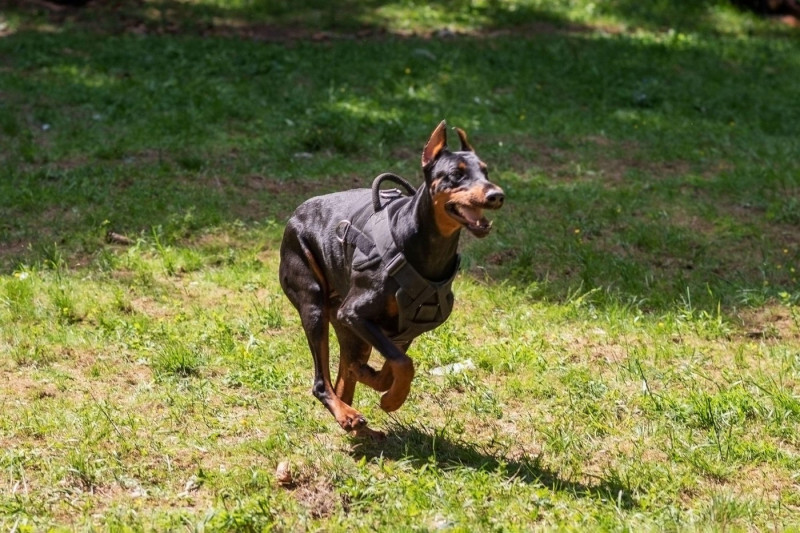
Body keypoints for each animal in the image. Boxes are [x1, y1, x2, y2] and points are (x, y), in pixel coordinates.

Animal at [282, 121, 504, 436]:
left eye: (485, 171)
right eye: (456, 174)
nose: (496, 195)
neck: (425, 248)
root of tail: (294, 215)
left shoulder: (407, 327)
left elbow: (392, 367)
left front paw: (377, 383)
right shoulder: (354, 312)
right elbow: (404, 364)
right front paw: (392, 400)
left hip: (347, 326)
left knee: (343, 375)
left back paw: (351, 405)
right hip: (314, 305)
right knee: (321, 382)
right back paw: (346, 413)